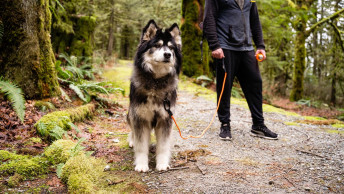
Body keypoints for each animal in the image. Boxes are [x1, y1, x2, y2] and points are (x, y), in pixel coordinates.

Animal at [125, 19, 180, 171]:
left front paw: (162, 164)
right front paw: (142, 165)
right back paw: (132, 141)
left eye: (171, 48)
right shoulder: (140, 118)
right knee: (132, 130)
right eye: (157, 45)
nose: (168, 54)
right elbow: (141, 146)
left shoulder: (165, 119)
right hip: (130, 114)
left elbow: (163, 146)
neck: (156, 82)